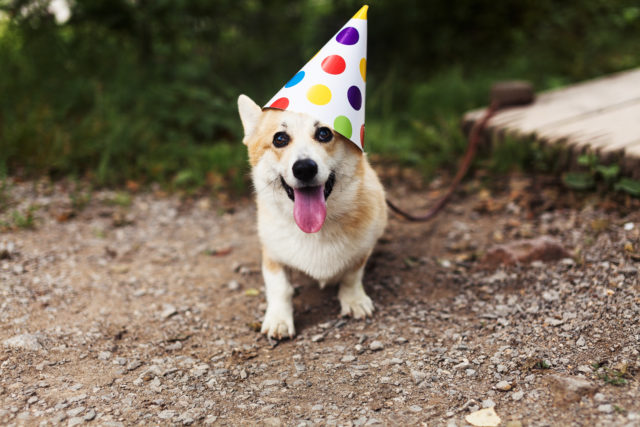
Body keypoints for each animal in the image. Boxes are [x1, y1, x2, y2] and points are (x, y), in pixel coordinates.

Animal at [235, 95, 384, 340]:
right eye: (280, 138)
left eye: (324, 133)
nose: (304, 168)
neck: (315, 230)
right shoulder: (271, 254)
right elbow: (279, 287)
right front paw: (278, 320)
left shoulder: (362, 250)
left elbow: (352, 276)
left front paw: (354, 301)